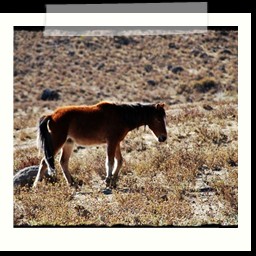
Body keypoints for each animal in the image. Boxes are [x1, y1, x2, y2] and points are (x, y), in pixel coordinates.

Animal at [33, 101, 167, 188]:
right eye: (158, 119)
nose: (163, 137)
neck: (121, 115)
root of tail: (51, 115)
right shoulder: (111, 141)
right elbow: (110, 161)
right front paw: (108, 180)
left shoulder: (116, 142)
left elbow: (119, 161)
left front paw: (114, 181)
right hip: (57, 142)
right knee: (45, 162)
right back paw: (36, 185)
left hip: (68, 143)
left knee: (63, 162)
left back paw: (72, 184)